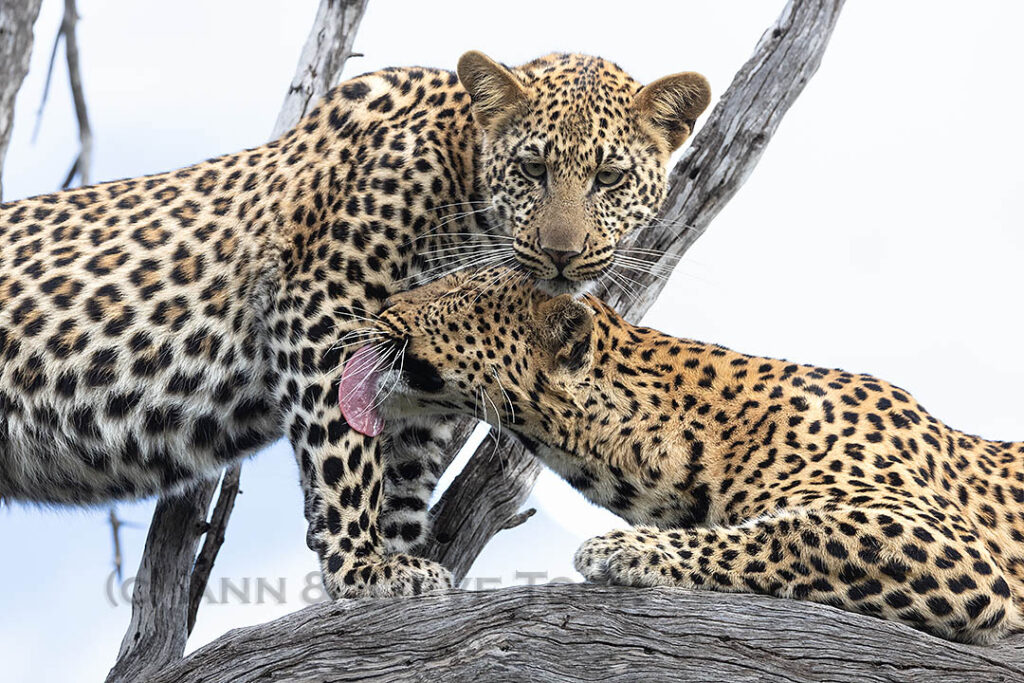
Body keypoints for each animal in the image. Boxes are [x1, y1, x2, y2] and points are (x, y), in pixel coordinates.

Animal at [0, 52, 711, 598]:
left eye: (609, 178)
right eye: (533, 168)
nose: (562, 254)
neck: (469, 204)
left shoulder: (424, 374)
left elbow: (404, 467)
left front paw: (399, 554)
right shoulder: (320, 311)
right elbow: (345, 451)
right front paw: (363, 569)